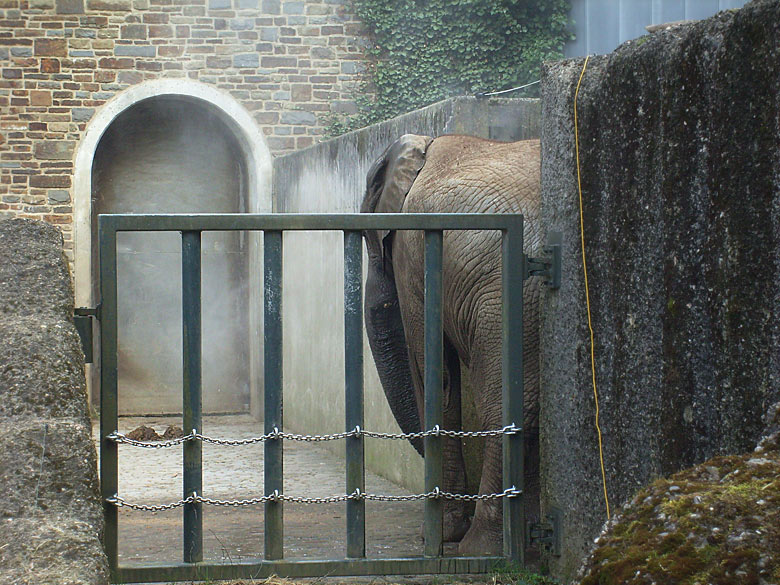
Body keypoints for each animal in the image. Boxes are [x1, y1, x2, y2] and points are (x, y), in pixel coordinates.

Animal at [362, 135, 540, 556]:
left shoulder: (414, 249)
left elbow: (434, 373)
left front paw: (440, 534)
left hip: (506, 292)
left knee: (504, 406)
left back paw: (480, 548)